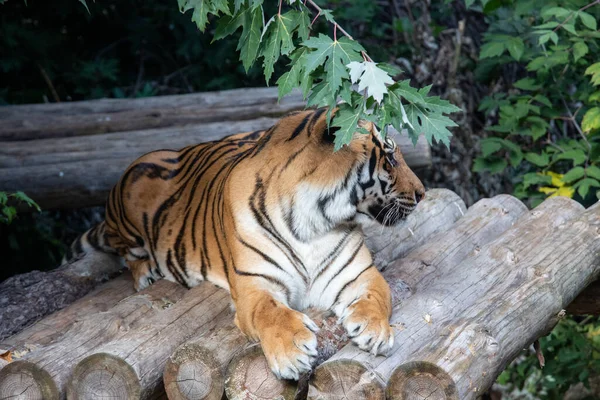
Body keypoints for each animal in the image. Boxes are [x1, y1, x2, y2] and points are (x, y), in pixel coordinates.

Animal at [63, 107, 424, 382]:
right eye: (390, 158)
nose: (422, 193)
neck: (315, 221)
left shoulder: (360, 274)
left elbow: (376, 297)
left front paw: (375, 331)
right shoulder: (255, 286)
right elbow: (271, 312)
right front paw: (292, 353)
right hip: (131, 192)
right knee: (127, 251)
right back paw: (146, 274)